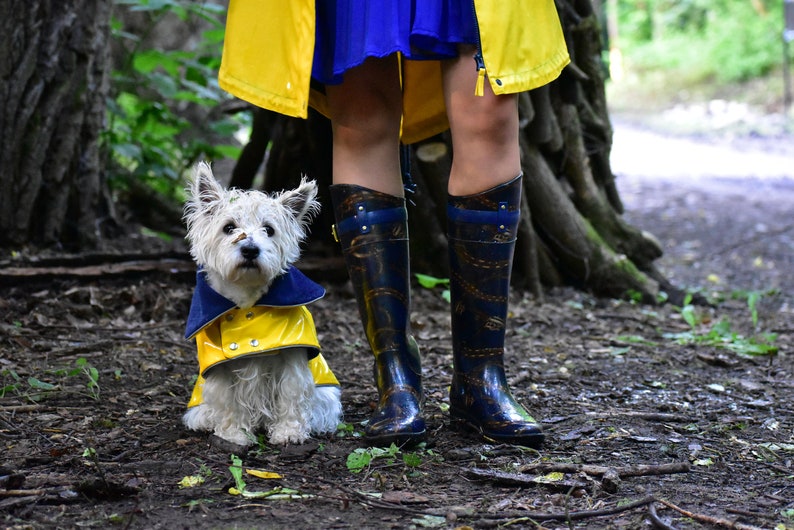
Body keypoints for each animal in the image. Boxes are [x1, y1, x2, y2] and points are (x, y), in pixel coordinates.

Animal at [179, 162, 340, 446]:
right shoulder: (220, 368)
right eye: (229, 228)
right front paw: (234, 434)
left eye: (269, 229)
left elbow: (290, 395)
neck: (248, 304)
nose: (251, 249)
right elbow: (228, 401)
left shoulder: (292, 358)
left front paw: (288, 432)